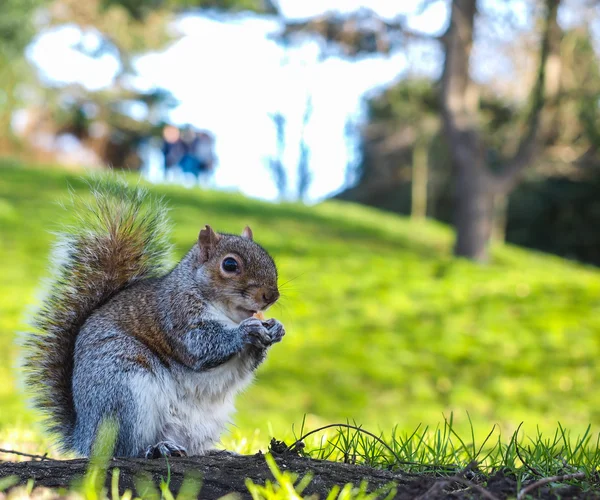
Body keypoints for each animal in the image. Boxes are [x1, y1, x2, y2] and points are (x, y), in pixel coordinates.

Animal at [24, 179, 286, 458]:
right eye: (230, 265)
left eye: (269, 258)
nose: (271, 295)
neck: (228, 312)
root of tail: (84, 436)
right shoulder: (176, 314)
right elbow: (201, 345)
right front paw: (246, 331)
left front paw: (275, 329)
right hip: (123, 393)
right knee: (124, 448)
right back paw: (156, 448)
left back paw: (215, 451)